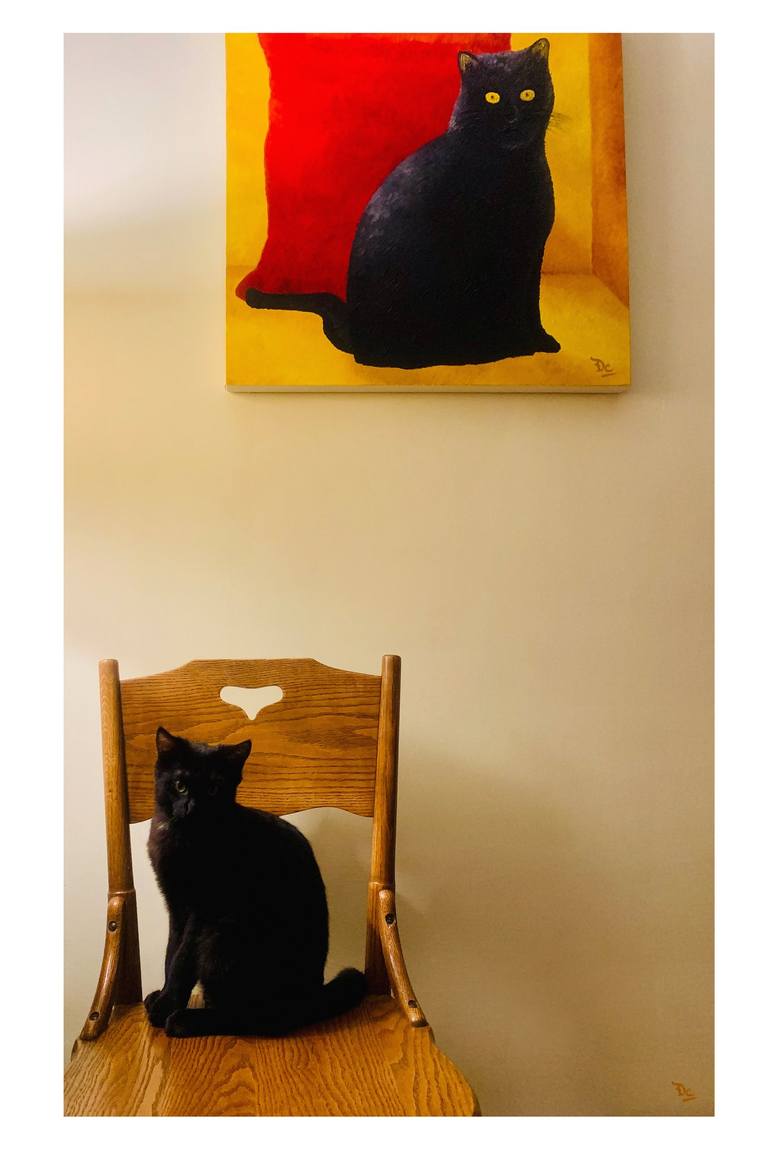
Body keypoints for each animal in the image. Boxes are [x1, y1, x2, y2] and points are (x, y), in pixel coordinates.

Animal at [144, 727, 366, 1038]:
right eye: (180, 785)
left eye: (213, 789)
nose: (192, 807)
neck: (183, 837)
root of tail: (309, 998)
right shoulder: (176, 906)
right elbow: (170, 952)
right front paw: (163, 996)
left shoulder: (202, 911)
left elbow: (182, 960)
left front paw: (166, 1006)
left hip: (222, 936)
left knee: (251, 1018)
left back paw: (185, 1020)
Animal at [245, 39, 560, 369]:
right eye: (492, 97)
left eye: (527, 93)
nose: (512, 115)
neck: (510, 167)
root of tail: (355, 334)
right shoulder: (495, 256)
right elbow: (510, 304)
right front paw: (519, 346)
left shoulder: (531, 251)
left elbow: (530, 304)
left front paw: (541, 341)